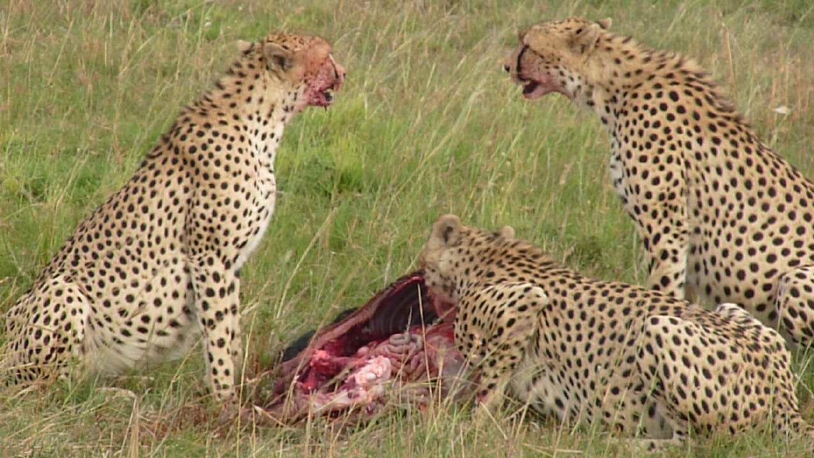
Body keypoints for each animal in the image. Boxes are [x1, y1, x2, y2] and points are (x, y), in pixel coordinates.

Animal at [1, 32, 345, 403]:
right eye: (327, 57)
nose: (344, 73)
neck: (265, 119)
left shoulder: (231, 263)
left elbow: (232, 330)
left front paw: (239, 386)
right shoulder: (209, 257)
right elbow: (219, 333)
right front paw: (225, 399)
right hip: (63, 293)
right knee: (45, 389)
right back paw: (112, 396)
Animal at [419, 214, 814, 447]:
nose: (418, 275)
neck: (489, 255)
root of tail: (784, 395)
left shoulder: (523, 304)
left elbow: (489, 383)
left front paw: (469, 426)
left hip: (658, 330)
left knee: (694, 445)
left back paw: (623, 444)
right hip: (735, 313)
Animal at [504, 16, 814, 347]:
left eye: (527, 45)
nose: (506, 66)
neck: (614, 86)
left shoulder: (666, 226)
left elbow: (663, 285)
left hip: (794, 279)